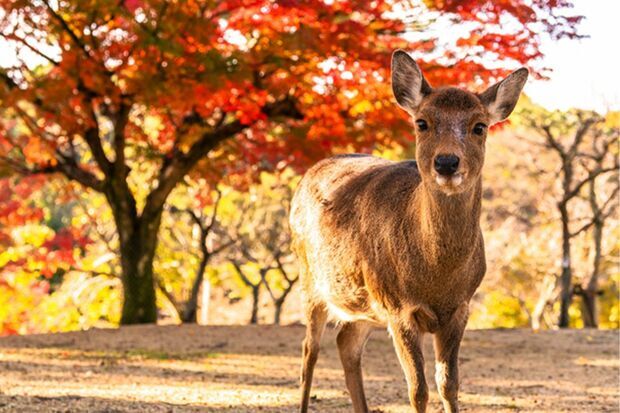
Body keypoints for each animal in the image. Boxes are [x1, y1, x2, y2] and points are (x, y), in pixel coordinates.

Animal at [290, 49, 528, 412]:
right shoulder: (398, 306)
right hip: (311, 280)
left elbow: (449, 384)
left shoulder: (461, 307)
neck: (436, 278)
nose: (447, 162)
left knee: (346, 342)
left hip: (363, 302)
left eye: (479, 126)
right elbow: (418, 389)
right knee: (309, 351)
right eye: (422, 122)